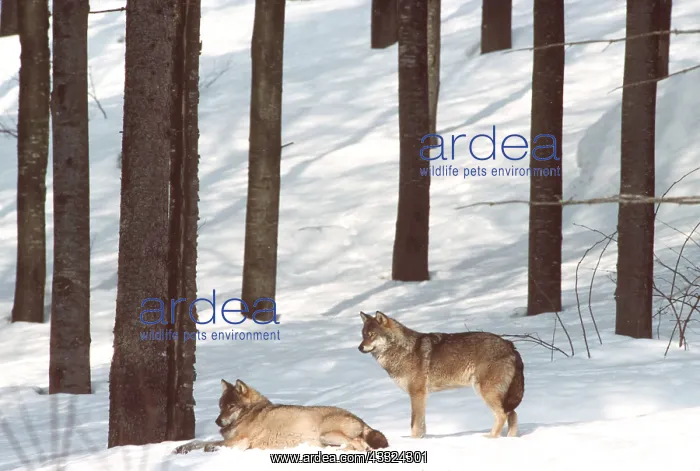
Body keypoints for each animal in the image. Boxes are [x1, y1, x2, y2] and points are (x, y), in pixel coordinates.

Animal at [172, 378, 389, 454]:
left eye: (231, 406)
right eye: (220, 406)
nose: (218, 421)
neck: (248, 413)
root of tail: (359, 419)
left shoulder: (241, 441)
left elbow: (212, 444)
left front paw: (211, 448)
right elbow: (198, 442)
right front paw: (182, 448)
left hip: (327, 435)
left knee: (361, 445)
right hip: (327, 439)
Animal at [358, 311, 524, 439]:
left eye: (372, 335)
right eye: (363, 335)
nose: (359, 348)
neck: (403, 349)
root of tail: (509, 345)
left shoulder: (417, 394)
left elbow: (414, 424)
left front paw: (413, 441)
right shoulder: (422, 396)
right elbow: (422, 425)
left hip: (485, 392)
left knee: (503, 415)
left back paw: (489, 438)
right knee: (513, 414)